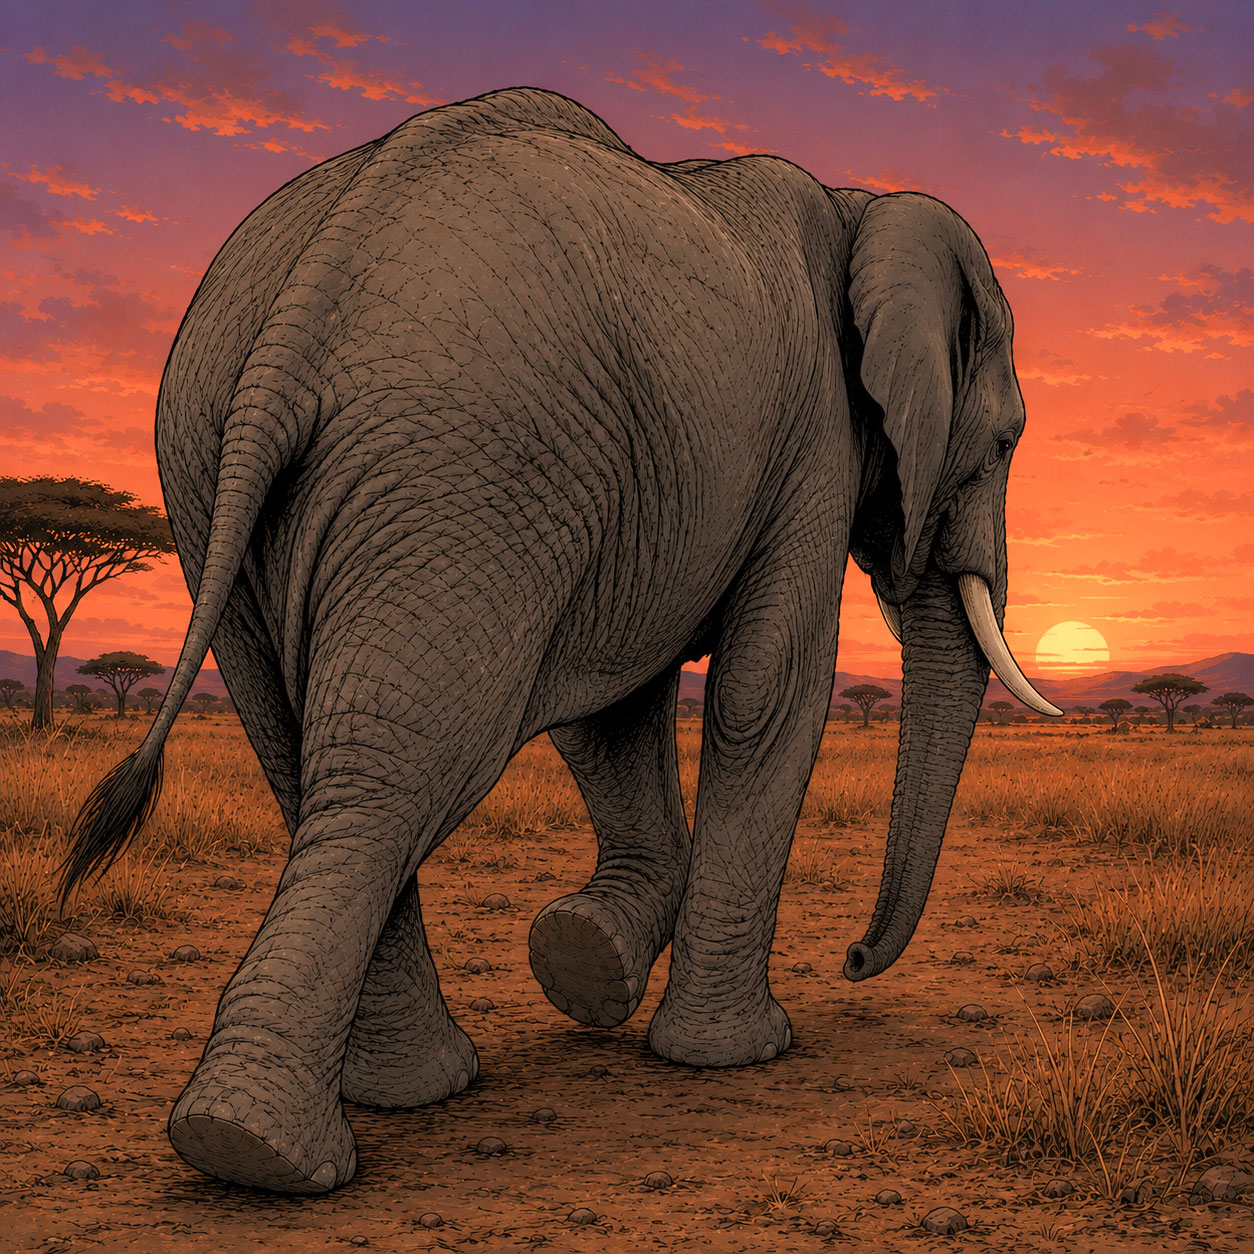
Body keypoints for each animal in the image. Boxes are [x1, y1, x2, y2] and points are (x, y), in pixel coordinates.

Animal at [61, 87, 1061, 1193]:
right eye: (1006, 442)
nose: (852, 958)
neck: (863, 206)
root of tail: (297, 312)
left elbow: (612, 714)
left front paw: (587, 957)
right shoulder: (813, 435)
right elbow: (768, 688)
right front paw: (732, 1054)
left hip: (220, 480)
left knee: (304, 758)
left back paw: (382, 1101)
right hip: (462, 470)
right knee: (400, 767)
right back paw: (261, 1149)